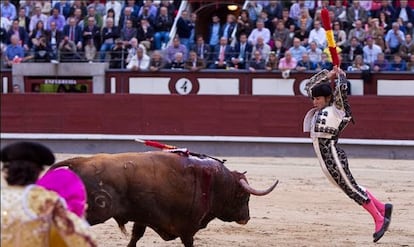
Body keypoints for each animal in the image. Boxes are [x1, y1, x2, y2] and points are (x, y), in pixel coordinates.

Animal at [51, 151, 278, 246]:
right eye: (244, 197)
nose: (246, 218)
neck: (215, 184)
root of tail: (79, 161)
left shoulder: (143, 217)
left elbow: (135, 237)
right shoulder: (188, 227)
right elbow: (189, 243)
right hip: (92, 212)